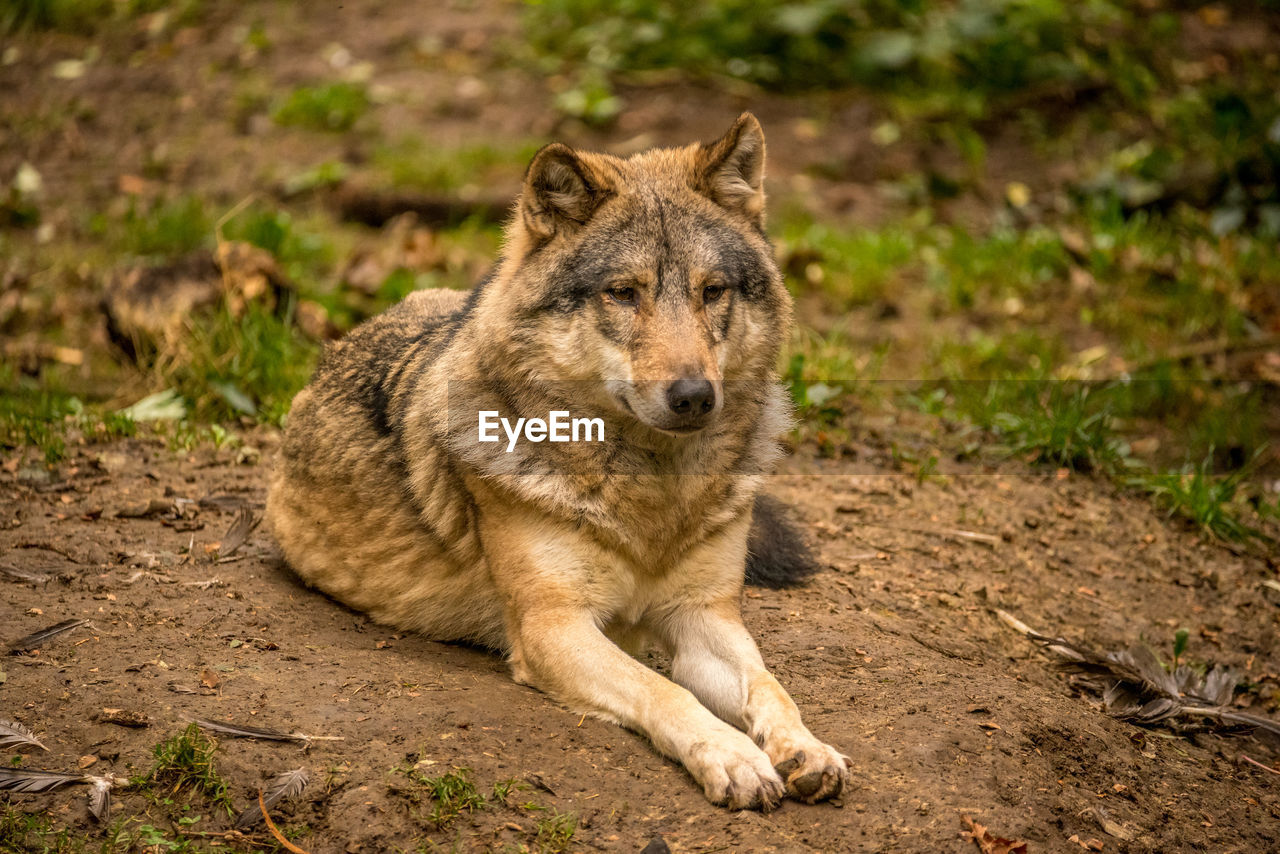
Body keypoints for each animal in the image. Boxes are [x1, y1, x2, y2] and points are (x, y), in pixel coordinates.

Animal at [263, 113, 849, 809]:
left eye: (712, 292)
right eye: (623, 294)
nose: (695, 397)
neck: (652, 499)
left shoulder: (704, 616)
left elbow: (771, 686)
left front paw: (806, 748)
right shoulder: (554, 627)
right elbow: (663, 689)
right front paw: (733, 757)